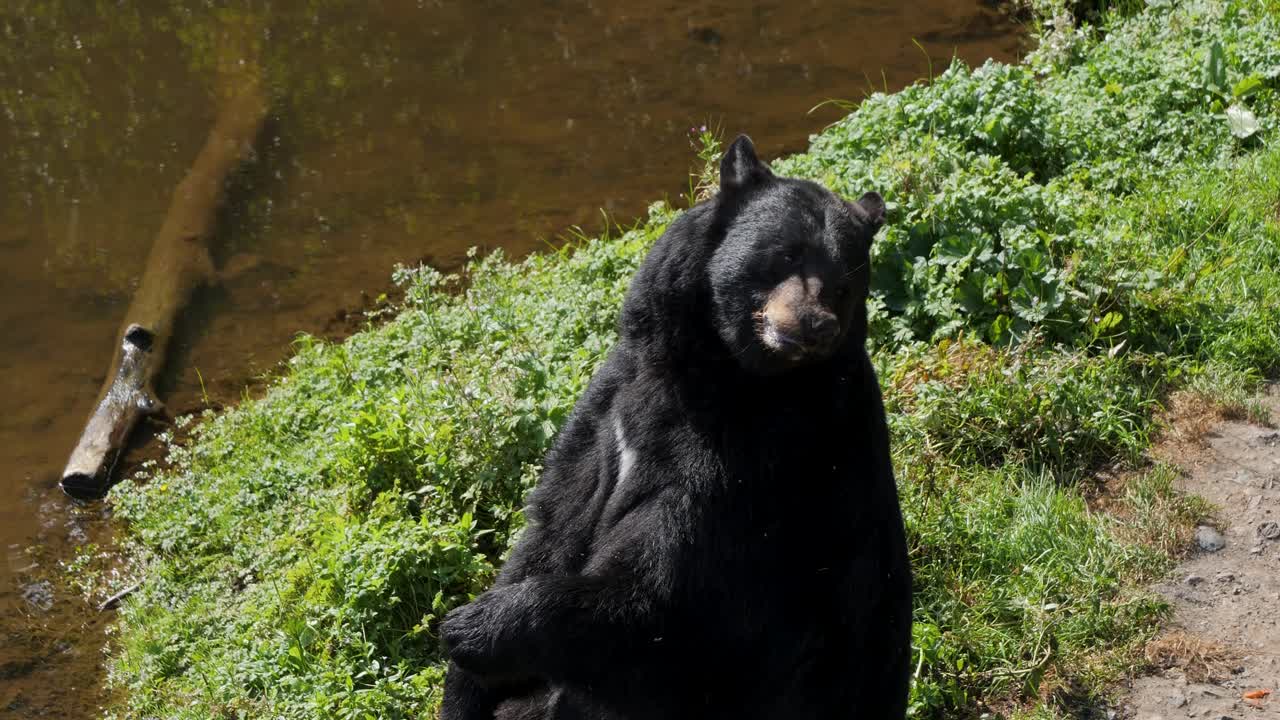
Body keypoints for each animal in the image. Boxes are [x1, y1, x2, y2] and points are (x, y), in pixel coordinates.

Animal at [439, 135, 912, 720]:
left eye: (846, 285)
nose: (815, 325)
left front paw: (471, 628)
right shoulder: (612, 405)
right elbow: (555, 522)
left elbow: (661, 592)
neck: (720, 372)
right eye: (786, 254)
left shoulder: (761, 462)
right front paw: (461, 684)